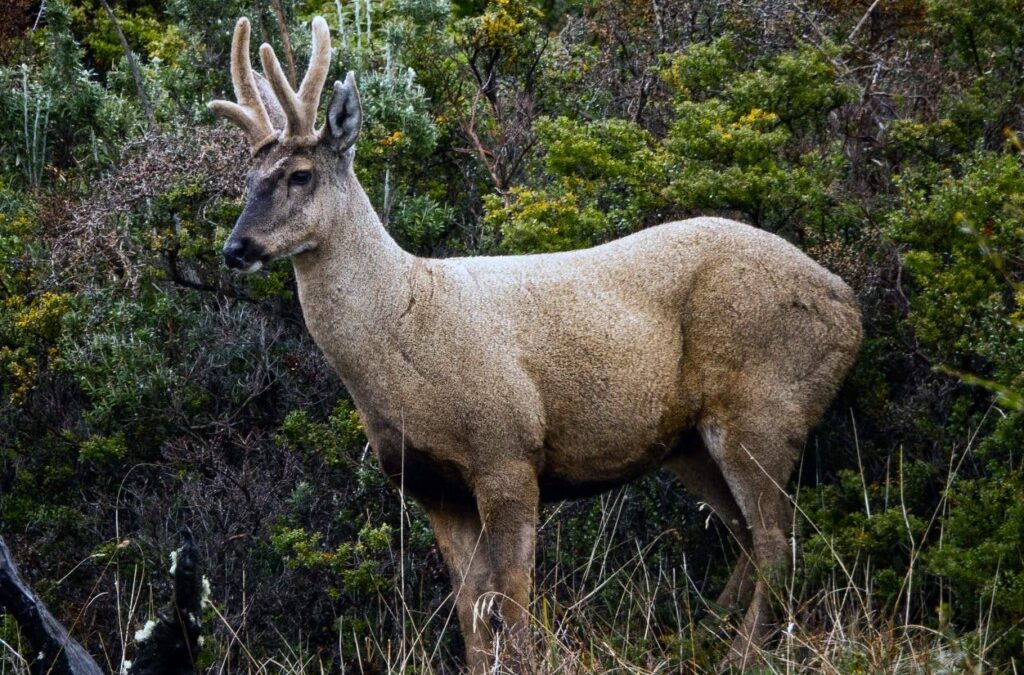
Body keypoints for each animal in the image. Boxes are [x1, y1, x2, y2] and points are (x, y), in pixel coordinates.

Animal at [207, 14, 864, 671]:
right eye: (247, 179)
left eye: (300, 175)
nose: (236, 249)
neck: (406, 336)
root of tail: (848, 305)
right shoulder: (431, 486)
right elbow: (471, 608)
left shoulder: (507, 450)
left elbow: (513, 598)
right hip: (689, 443)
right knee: (748, 535)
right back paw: (705, 637)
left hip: (764, 406)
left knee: (778, 540)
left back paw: (741, 654)